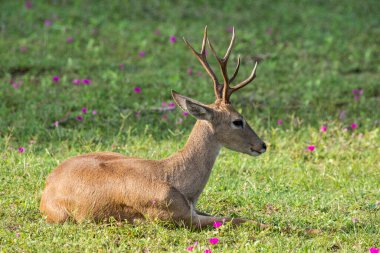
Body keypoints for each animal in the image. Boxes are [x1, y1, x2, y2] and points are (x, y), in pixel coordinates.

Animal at [40, 26, 268, 228]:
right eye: (237, 120)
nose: (262, 145)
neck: (177, 180)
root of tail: (47, 186)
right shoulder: (176, 217)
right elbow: (236, 219)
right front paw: (273, 226)